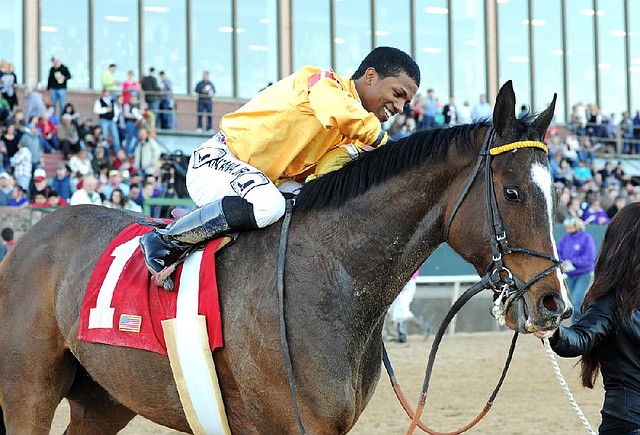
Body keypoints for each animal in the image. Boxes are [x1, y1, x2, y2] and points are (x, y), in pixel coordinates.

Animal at [0, 82, 572, 435]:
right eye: (514, 192)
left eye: (555, 192)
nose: (553, 303)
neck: (328, 276)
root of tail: (33, 236)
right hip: (28, 391)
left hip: (105, 397)